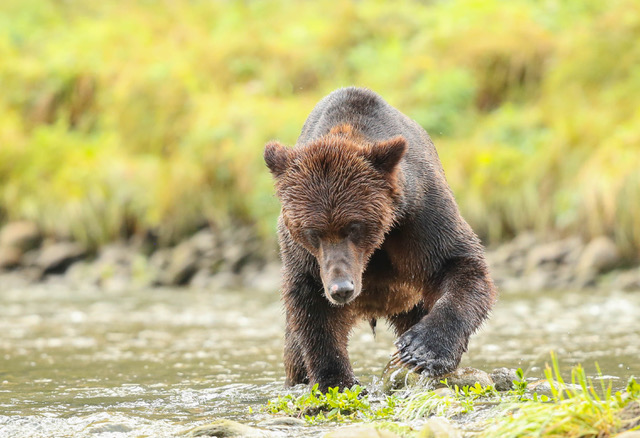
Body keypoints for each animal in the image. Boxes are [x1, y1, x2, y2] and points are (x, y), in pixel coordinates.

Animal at [262, 87, 498, 392]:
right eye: (313, 232)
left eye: (354, 227)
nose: (341, 288)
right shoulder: (305, 258)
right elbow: (312, 309)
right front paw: (335, 379)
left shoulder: (419, 215)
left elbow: (458, 263)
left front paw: (421, 349)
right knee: (294, 348)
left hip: (411, 299)